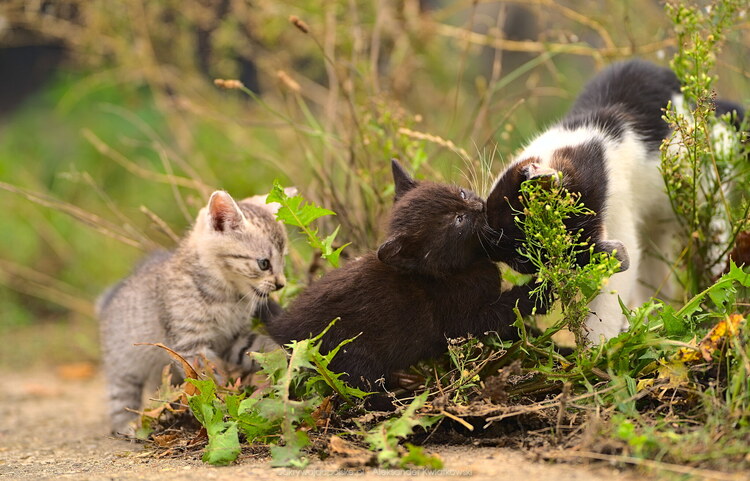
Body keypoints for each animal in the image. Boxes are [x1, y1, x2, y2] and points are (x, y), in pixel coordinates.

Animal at [96, 189, 288, 434]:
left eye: (283, 260)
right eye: (264, 263)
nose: (281, 284)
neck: (228, 296)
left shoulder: (233, 339)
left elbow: (261, 348)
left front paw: (284, 356)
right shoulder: (192, 346)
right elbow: (209, 380)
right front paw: (222, 405)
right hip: (124, 366)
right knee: (120, 400)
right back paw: (128, 427)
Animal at [488, 59, 748, 342]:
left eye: (520, 255)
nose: (490, 246)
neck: (599, 144)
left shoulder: (619, 214)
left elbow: (610, 297)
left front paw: (597, 348)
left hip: (706, 195)